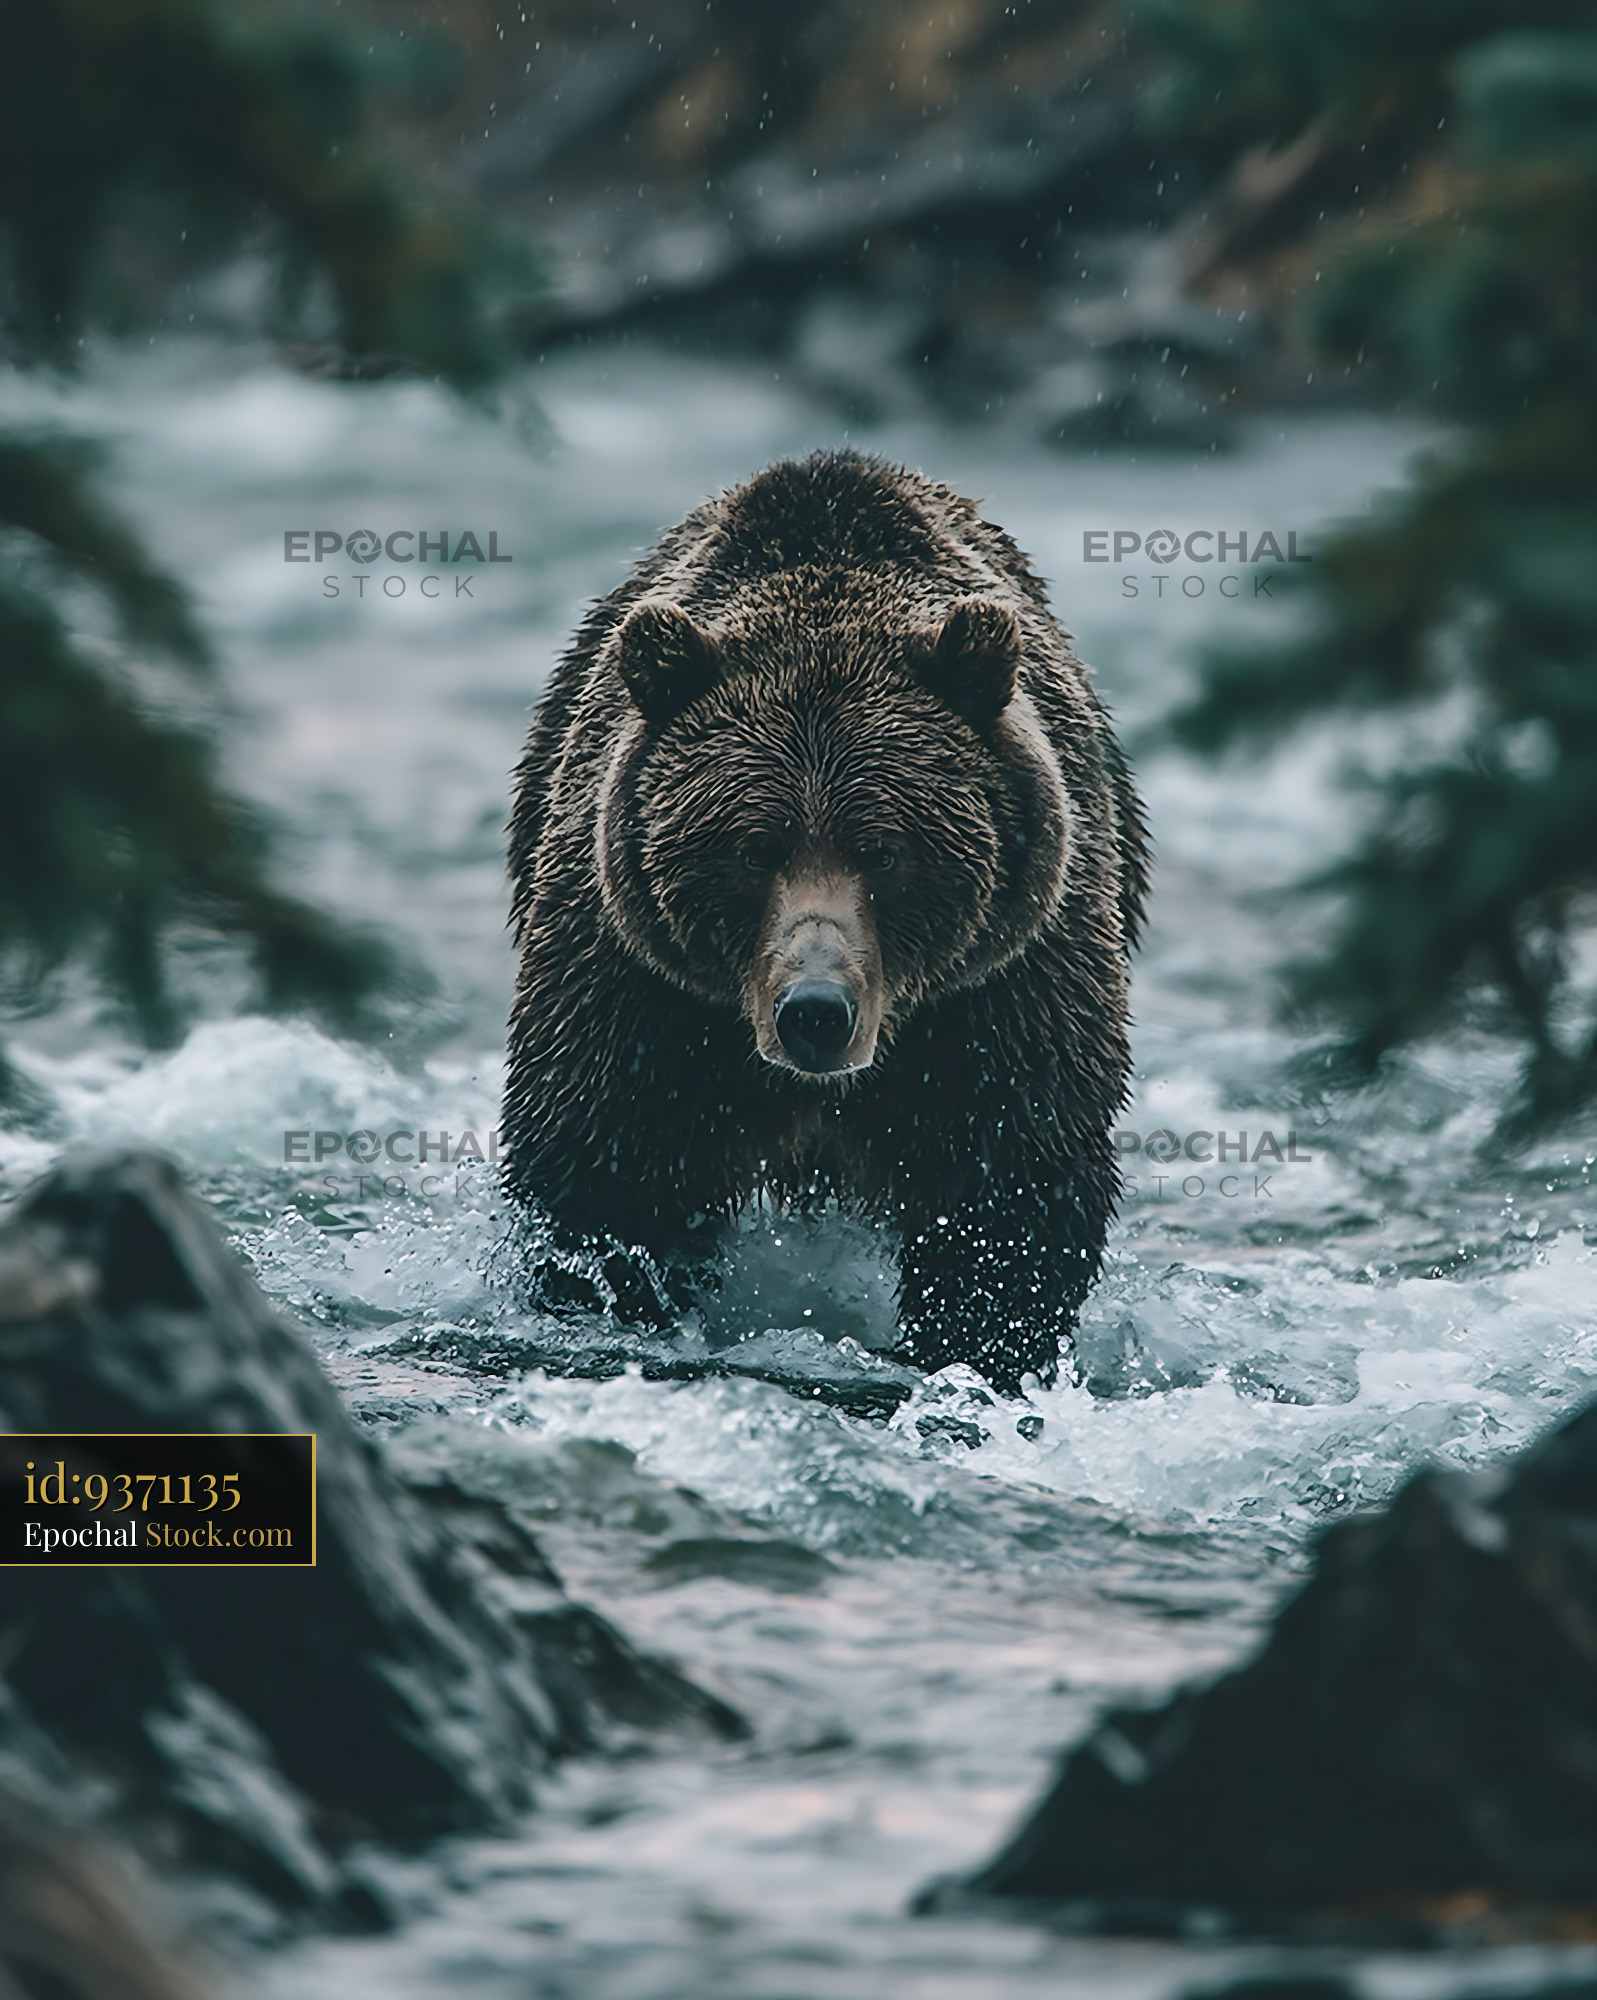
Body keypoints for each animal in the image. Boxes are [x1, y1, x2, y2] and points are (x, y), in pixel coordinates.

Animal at [503, 449, 1148, 1392]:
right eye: (752, 848)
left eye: (882, 850)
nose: (814, 1011)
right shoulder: (640, 990)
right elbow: (610, 1176)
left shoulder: (1001, 992)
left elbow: (1007, 1191)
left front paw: (976, 1348)